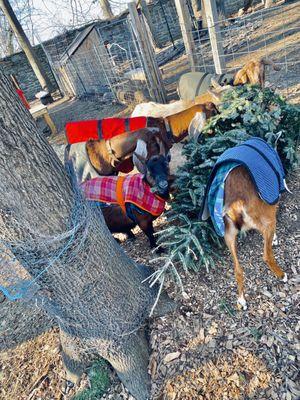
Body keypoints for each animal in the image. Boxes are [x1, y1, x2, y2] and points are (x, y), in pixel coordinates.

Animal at [224, 166, 288, 310]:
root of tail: (237, 202)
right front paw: (275, 239)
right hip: (267, 222)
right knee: (267, 256)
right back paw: (282, 275)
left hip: (228, 235)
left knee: (237, 270)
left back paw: (241, 300)